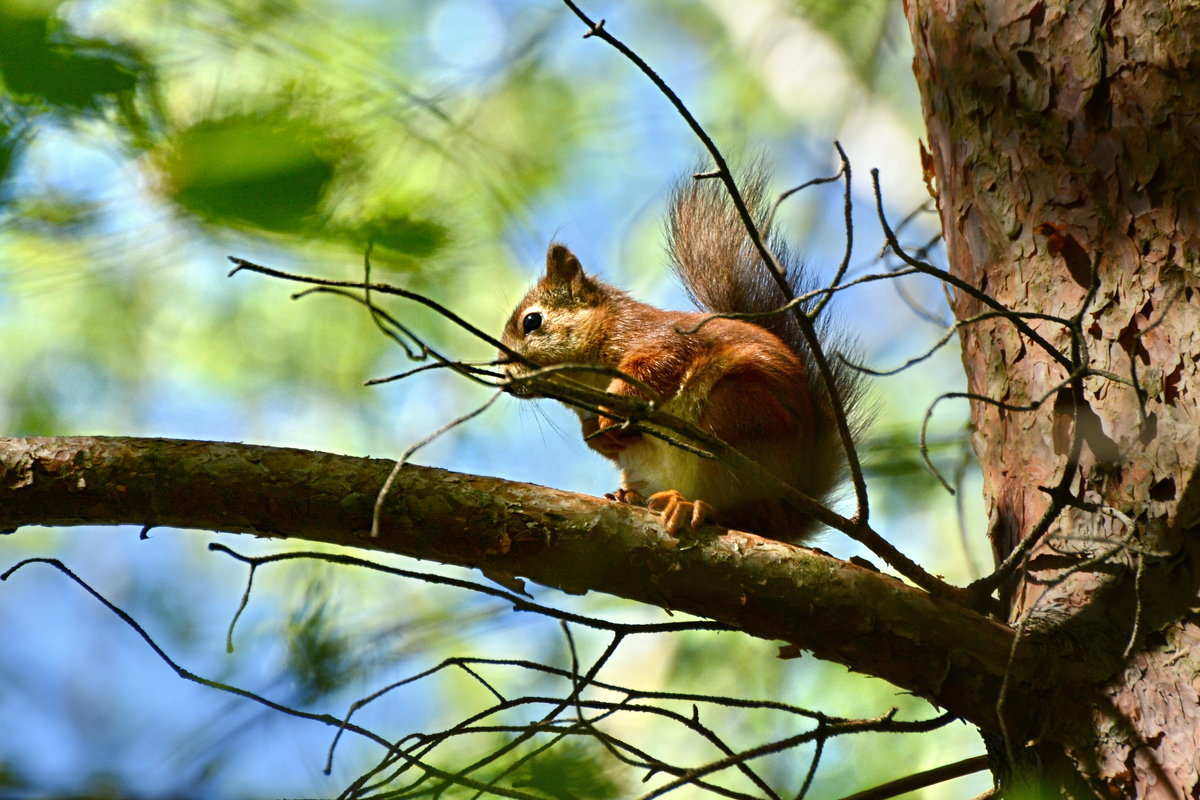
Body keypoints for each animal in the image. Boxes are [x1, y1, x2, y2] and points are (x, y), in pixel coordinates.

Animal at [499, 170, 864, 544]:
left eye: (532, 322)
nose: (506, 380)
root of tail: (786, 518)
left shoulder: (663, 339)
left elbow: (655, 369)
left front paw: (613, 411)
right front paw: (600, 435)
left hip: (736, 419)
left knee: (741, 511)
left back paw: (695, 508)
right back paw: (630, 496)